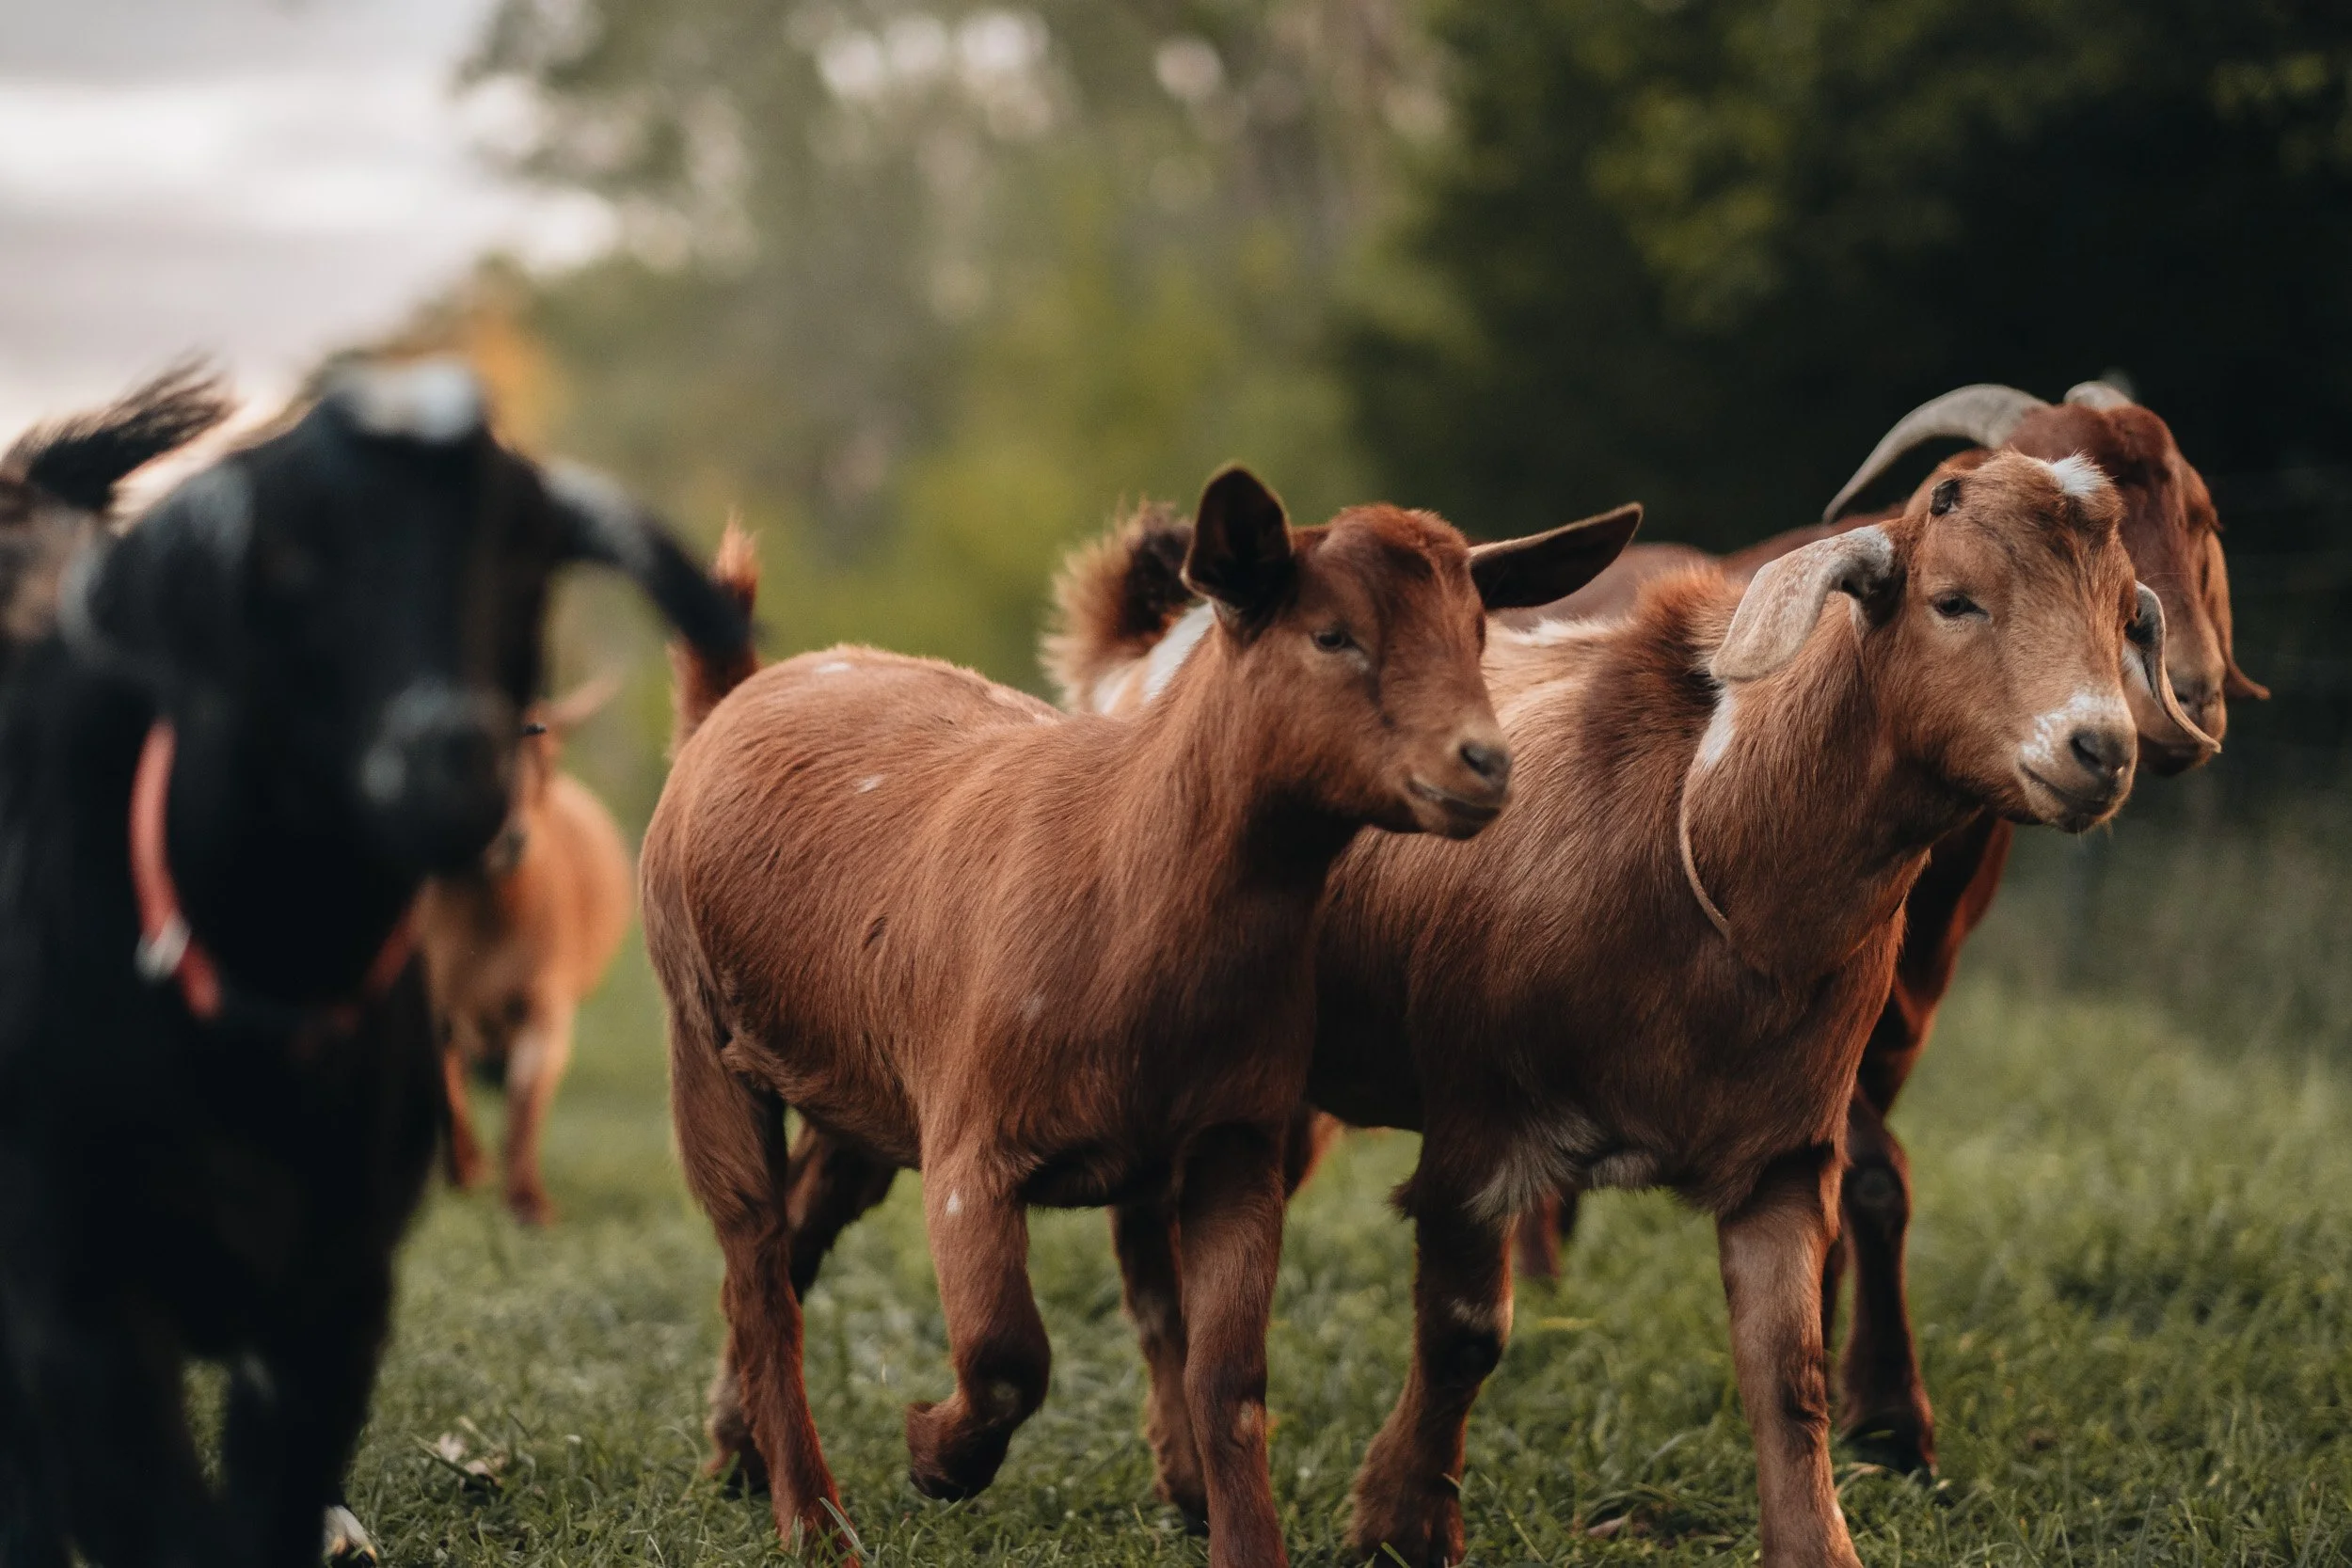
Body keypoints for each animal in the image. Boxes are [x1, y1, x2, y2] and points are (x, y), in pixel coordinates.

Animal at [416, 678, 633, 1225]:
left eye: (546, 757)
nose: (509, 839)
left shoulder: (546, 1006)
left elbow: (525, 1103)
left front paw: (528, 1203)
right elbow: (446, 1088)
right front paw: (466, 1170)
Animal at [642, 469, 1636, 1566]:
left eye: (1476, 630)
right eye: (1332, 634)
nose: (1484, 764)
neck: (1123, 879)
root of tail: (734, 696)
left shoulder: (1233, 1141)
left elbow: (1229, 1375)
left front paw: (1245, 1543)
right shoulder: (973, 1146)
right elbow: (1006, 1354)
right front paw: (932, 1454)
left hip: (853, 1080)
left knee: (798, 1233)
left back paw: (741, 1459)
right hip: (701, 1037)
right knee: (756, 1260)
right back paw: (814, 1519)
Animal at [1020, 450, 2206, 1566]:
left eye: (2122, 613)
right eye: (1954, 599)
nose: (2098, 749)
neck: (1704, 837)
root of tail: (1144, 649)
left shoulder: (1784, 1149)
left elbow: (1787, 1370)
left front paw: (1820, 1541)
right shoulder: (1478, 1127)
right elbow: (1463, 1333)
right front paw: (1402, 1523)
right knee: (1152, 1253)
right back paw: (1183, 1476)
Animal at [1506, 381, 2259, 1474]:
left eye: (2197, 517)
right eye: (1966, 595)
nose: (2170, 704)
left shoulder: (1902, 1015)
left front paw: (1835, 1366)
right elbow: (1871, 1173)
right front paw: (1890, 1411)